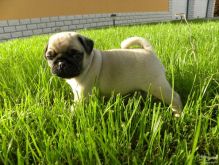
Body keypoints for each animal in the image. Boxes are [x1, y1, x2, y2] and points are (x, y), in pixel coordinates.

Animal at [43, 31, 182, 116]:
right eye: (50, 57)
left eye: (75, 55)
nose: (61, 63)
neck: (89, 61)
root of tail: (148, 51)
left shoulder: (82, 95)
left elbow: (75, 107)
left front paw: (68, 115)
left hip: (158, 86)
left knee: (175, 97)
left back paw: (178, 114)